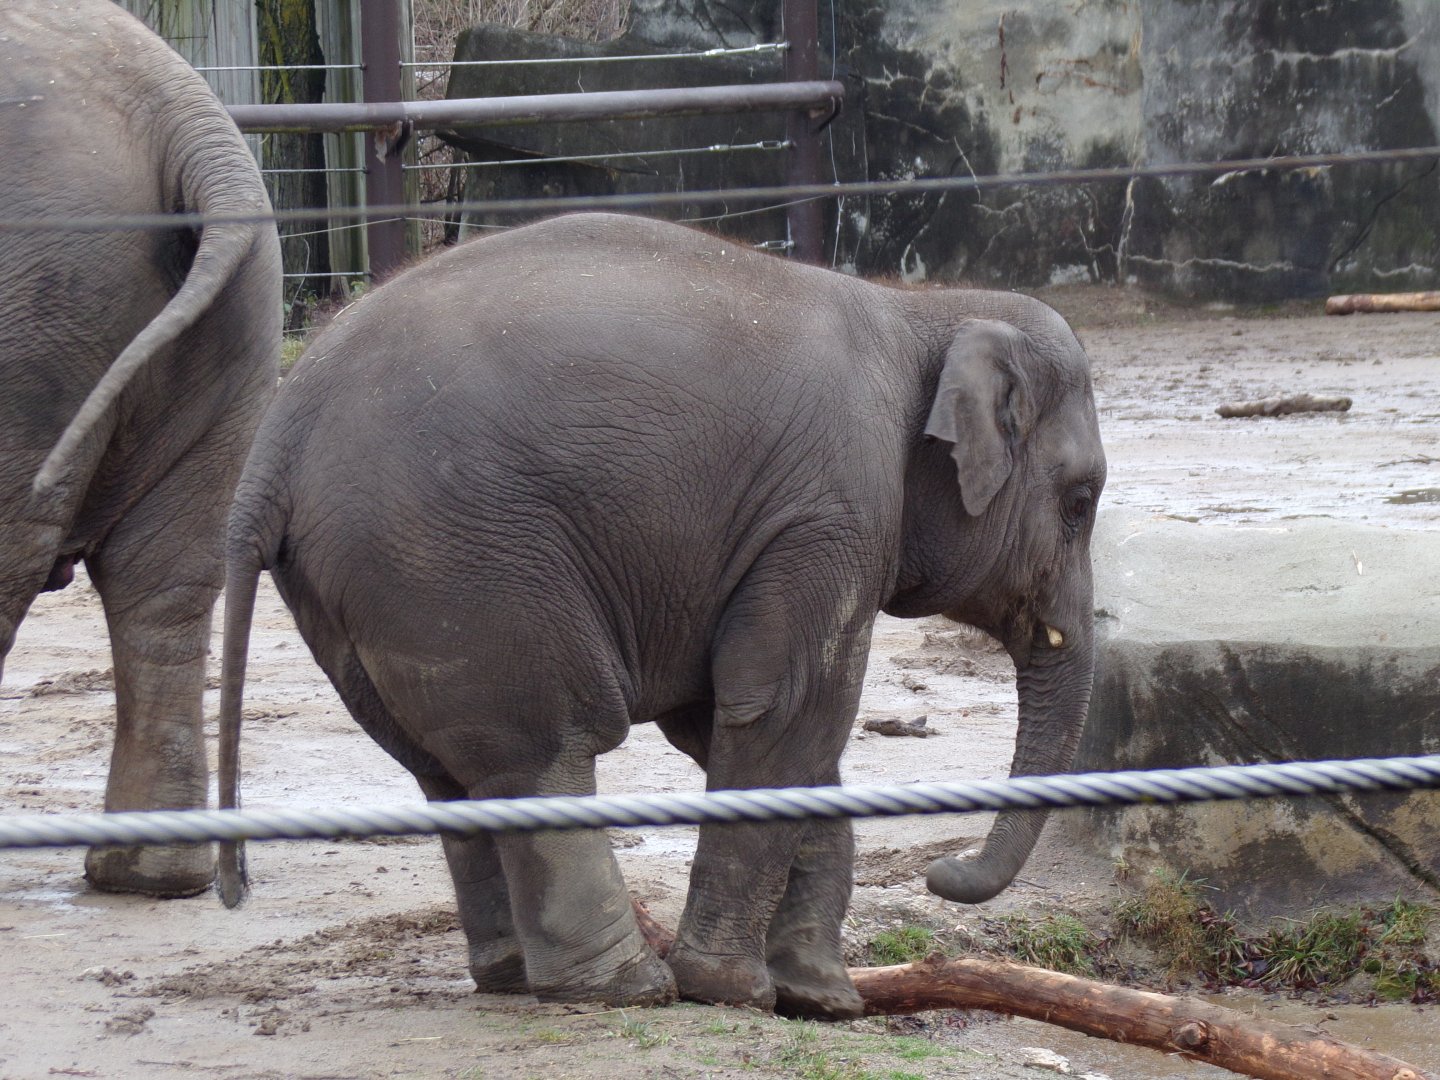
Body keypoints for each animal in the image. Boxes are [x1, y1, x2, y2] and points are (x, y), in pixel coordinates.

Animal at [218, 212, 1104, 1017]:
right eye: (1080, 502)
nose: (942, 873)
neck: (924, 311)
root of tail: (275, 442)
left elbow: (737, 725)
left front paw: (819, 996)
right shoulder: (830, 512)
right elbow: (792, 709)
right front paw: (738, 990)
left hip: (360, 585)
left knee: (445, 767)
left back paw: (511, 976)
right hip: (455, 554)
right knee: (548, 744)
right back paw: (625, 987)